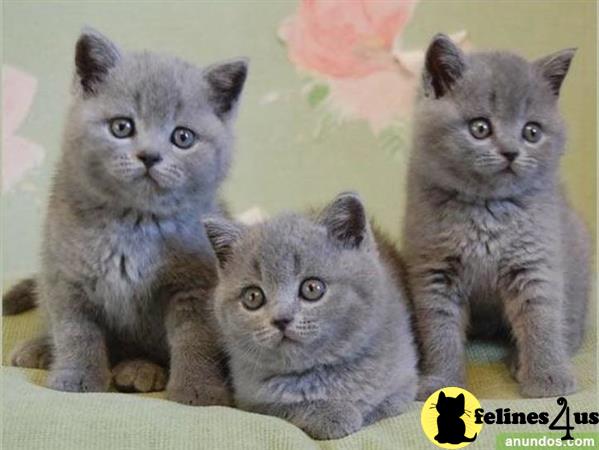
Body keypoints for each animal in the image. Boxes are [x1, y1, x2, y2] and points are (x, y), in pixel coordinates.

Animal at [1, 28, 246, 404]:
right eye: (121, 127)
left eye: (183, 137)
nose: (149, 156)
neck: (134, 223)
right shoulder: (65, 275)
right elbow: (75, 330)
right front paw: (77, 377)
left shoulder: (196, 285)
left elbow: (196, 338)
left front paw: (198, 390)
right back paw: (42, 348)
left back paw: (140, 370)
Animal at [205, 193, 418, 440]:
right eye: (253, 297)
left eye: (312, 288)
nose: (281, 319)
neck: (319, 372)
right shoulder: (249, 400)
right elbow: (287, 406)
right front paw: (334, 414)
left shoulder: (405, 381)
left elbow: (383, 403)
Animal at [404, 36, 592, 400]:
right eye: (480, 128)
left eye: (531, 132)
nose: (510, 152)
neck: (487, 209)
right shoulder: (434, 269)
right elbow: (439, 329)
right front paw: (441, 380)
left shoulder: (535, 262)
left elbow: (541, 318)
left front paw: (547, 378)